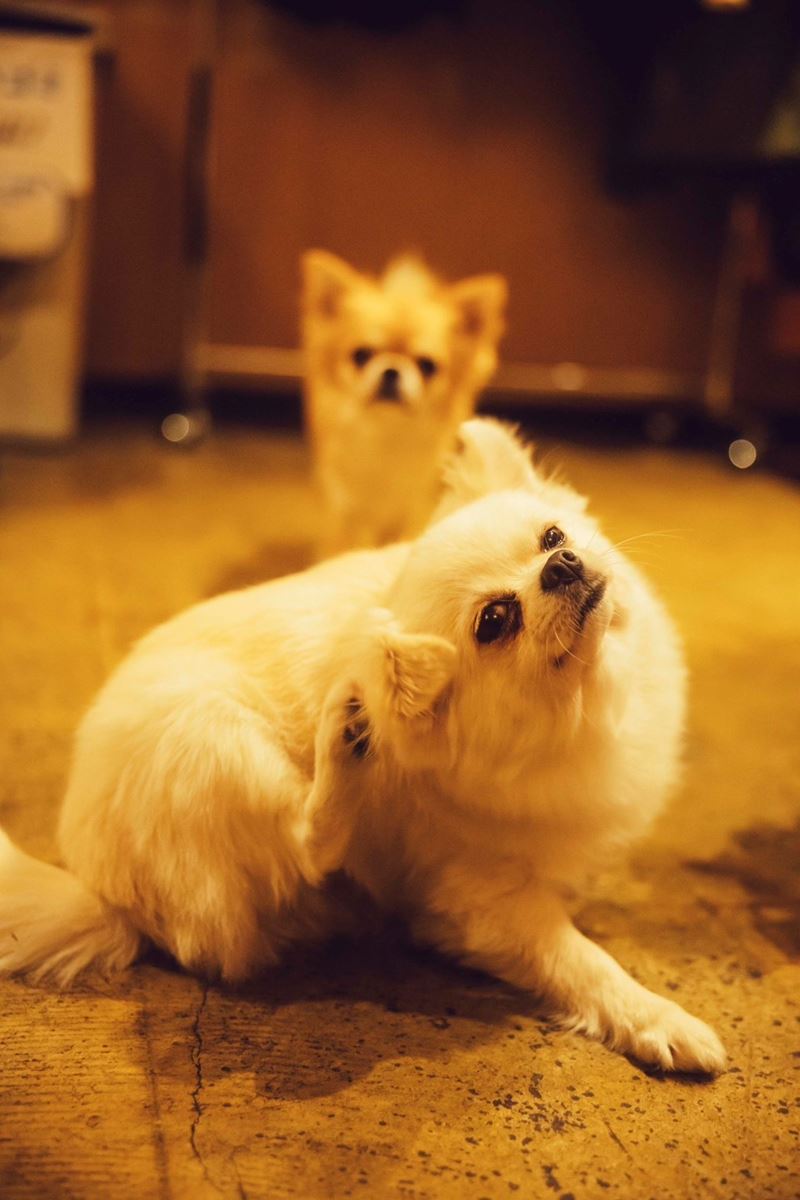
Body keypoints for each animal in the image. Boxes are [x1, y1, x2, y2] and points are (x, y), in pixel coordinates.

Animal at [0, 419, 725, 1073]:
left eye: (553, 535)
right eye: (496, 621)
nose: (562, 564)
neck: (590, 703)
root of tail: (105, 891)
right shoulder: (482, 906)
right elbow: (584, 962)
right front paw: (661, 1021)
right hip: (216, 739)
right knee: (306, 850)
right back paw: (346, 748)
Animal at [301, 250, 507, 556]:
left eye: (427, 365)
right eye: (361, 355)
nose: (391, 370)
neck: (388, 433)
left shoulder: (416, 506)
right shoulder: (346, 508)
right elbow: (344, 545)